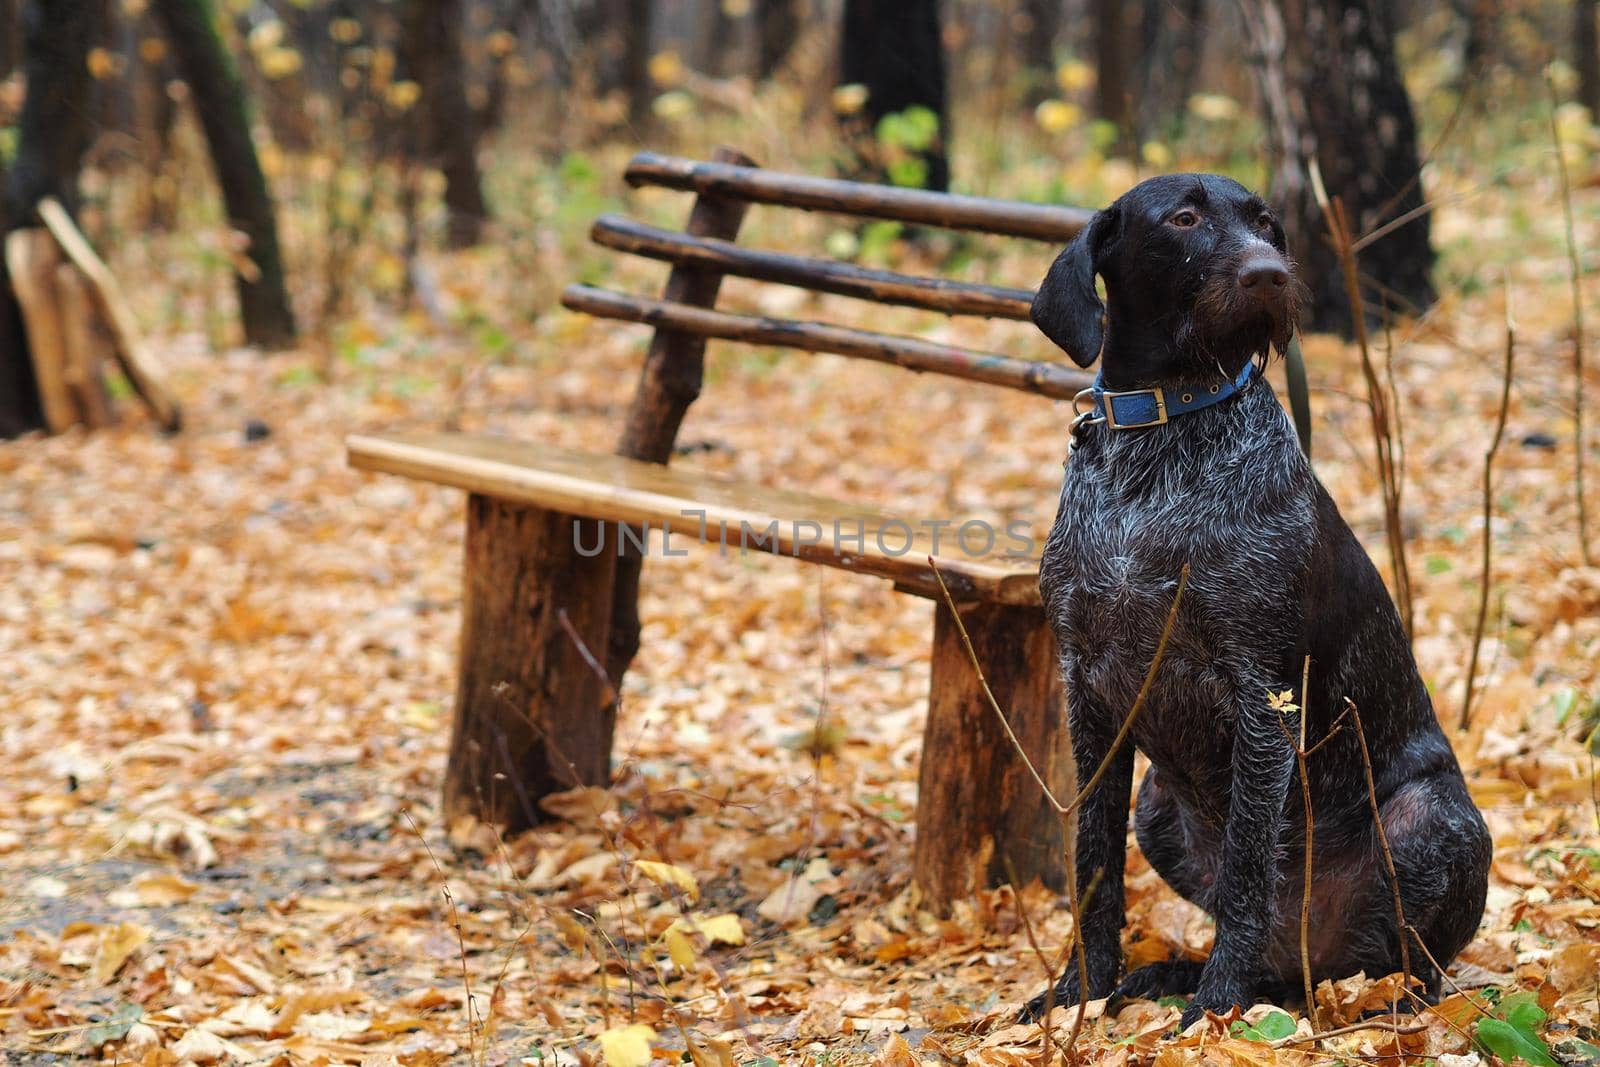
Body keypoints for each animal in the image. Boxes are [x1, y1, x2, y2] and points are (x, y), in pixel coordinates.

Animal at [1017, 177, 1491, 1036]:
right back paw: (1173, 972)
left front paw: (1216, 1007)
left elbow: (1244, 872)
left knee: (1414, 964)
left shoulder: (1261, 697)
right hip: (1156, 806)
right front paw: (1082, 991)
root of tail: (1319, 963)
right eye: (1184, 218)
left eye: (1267, 223)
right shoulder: (1088, 693)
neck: (1164, 431)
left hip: (1428, 818)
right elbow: (1092, 862)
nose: (1271, 273)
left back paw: (1380, 1001)